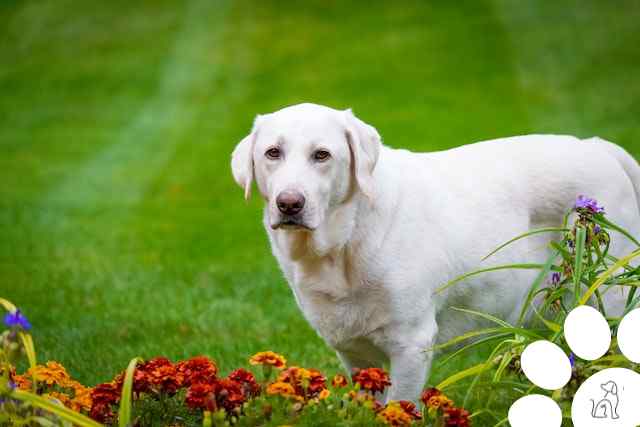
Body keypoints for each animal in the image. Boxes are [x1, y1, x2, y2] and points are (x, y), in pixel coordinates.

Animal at [231, 102, 640, 402]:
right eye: (272, 153)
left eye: (321, 155)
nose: (289, 204)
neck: (341, 246)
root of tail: (597, 146)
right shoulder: (354, 354)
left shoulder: (411, 345)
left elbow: (399, 407)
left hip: (607, 294)